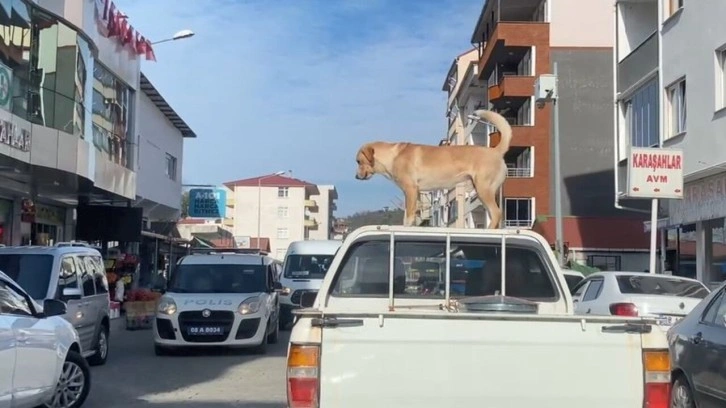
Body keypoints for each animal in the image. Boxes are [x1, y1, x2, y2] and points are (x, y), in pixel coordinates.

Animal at [356, 108, 516, 230]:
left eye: (358, 161)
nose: (356, 177)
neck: (393, 155)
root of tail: (495, 151)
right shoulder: (411, 192)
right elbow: (408, 214)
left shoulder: (410, 189)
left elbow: (409, 216)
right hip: (482, 191)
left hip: (484, 188)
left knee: (496, 213)